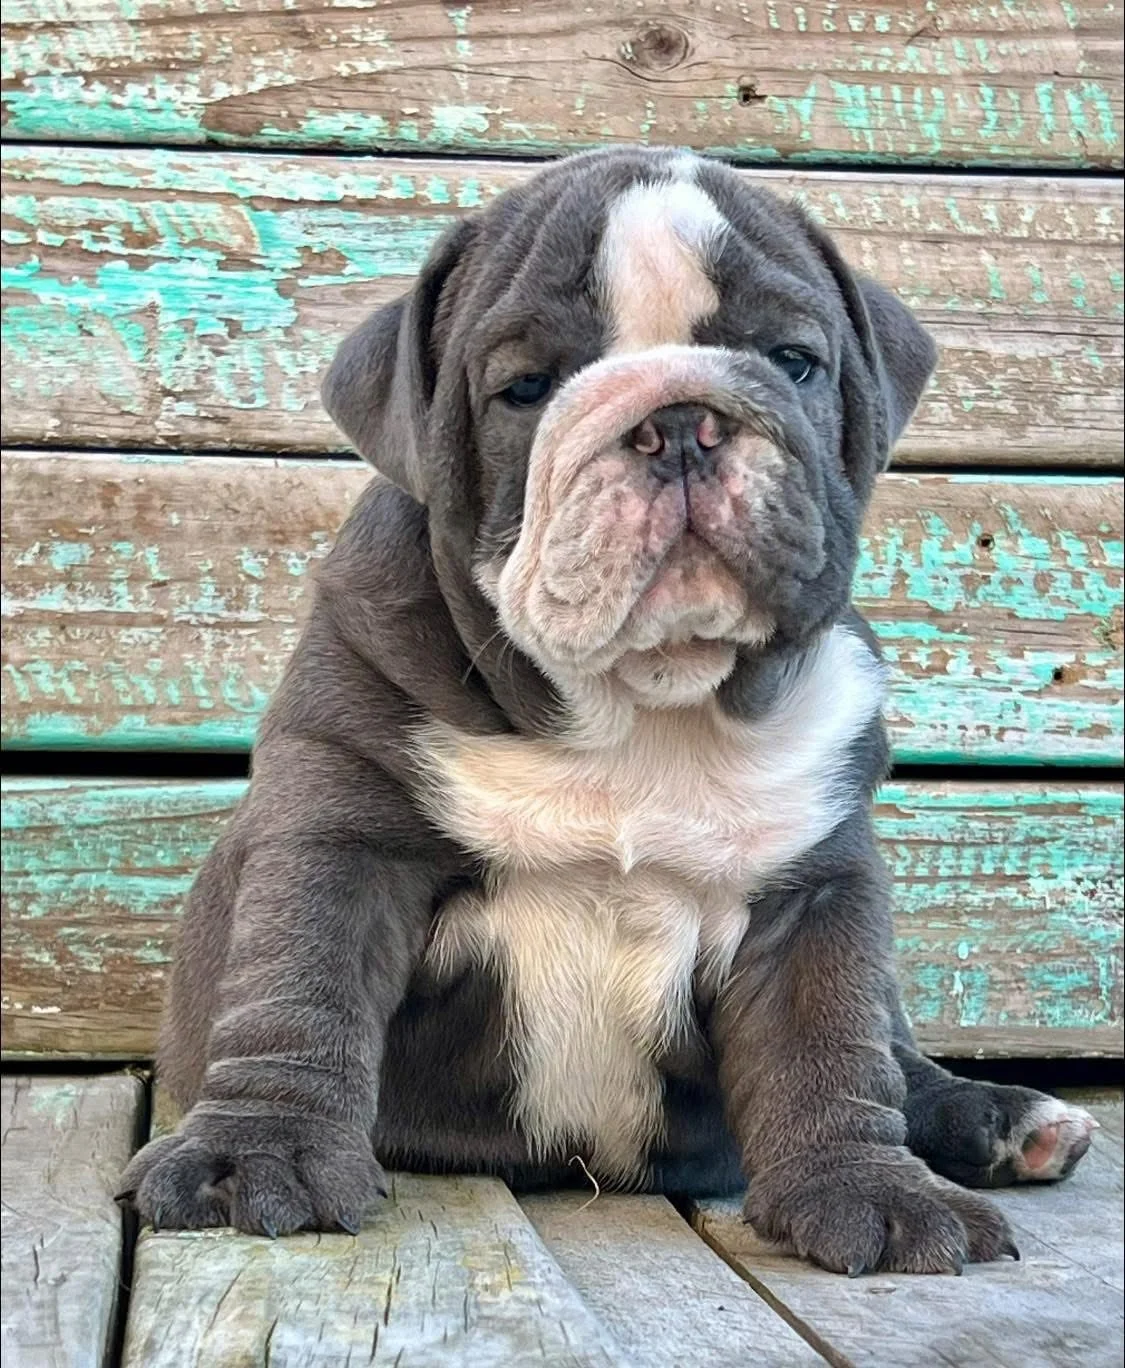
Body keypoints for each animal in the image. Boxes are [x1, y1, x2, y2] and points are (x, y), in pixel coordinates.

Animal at [119, 146, 1097, 1275]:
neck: (640, 703)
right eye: (523, 389)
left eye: (795, 362)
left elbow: (830, 1040)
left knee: (894, 1054)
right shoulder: (343, 827)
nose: (677, 422)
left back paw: (1003, 1117)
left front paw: (872, 1190)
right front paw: (258, 1155)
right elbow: (299, 985)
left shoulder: (812, 886)